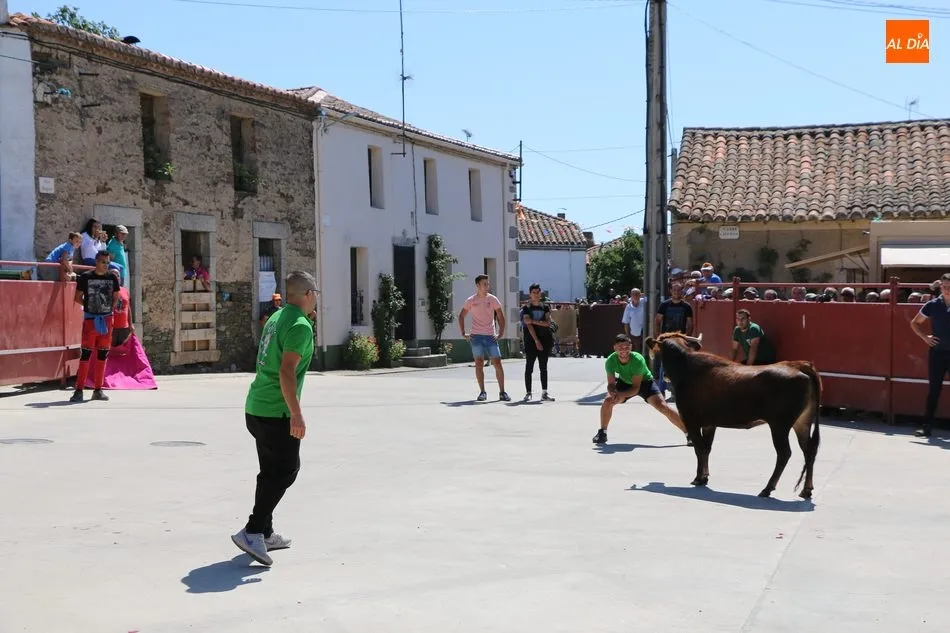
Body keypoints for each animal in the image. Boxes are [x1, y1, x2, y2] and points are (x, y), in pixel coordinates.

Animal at [643, 332, 821, 499]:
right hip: (802, 422)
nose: (663, 376)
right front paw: (705, 477)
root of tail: (799, 365)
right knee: (809, 450)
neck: (686, 368)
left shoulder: (691, 420)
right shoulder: (709, 424)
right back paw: (806, 490)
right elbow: (707, 449)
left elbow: (699, 449)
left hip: (779, 425)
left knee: (784, 453)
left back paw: (767, 488)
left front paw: (698, 478)